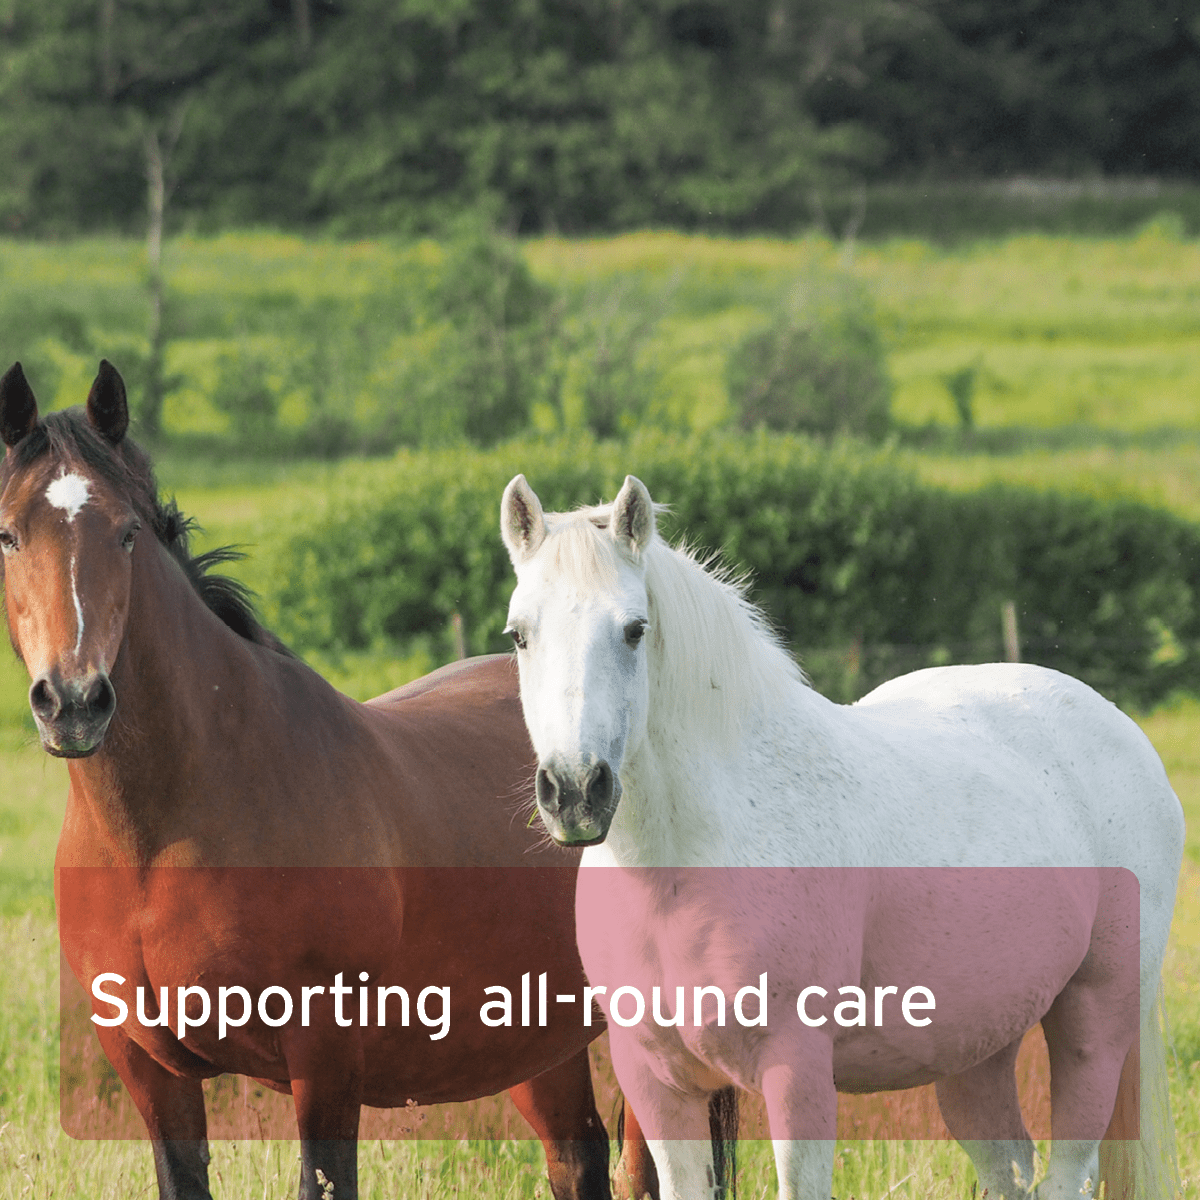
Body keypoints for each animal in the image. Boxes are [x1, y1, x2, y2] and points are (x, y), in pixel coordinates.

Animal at [0, 360, 663, 1200]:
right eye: (8, 534)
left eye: (126, 533)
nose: (74, 702)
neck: (164, 832)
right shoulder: (150, 1070)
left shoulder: (324, 1061)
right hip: (540, 1046)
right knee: (578, 1158)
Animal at [499, 472, 1184, 1200]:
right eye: (519, 635)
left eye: (633, 631)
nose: (576, 791)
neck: (686, 865)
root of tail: (1119, 727)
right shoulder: (659, 1088)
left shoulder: (797, 1077)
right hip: (979, 1046)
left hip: (1095, 1020)